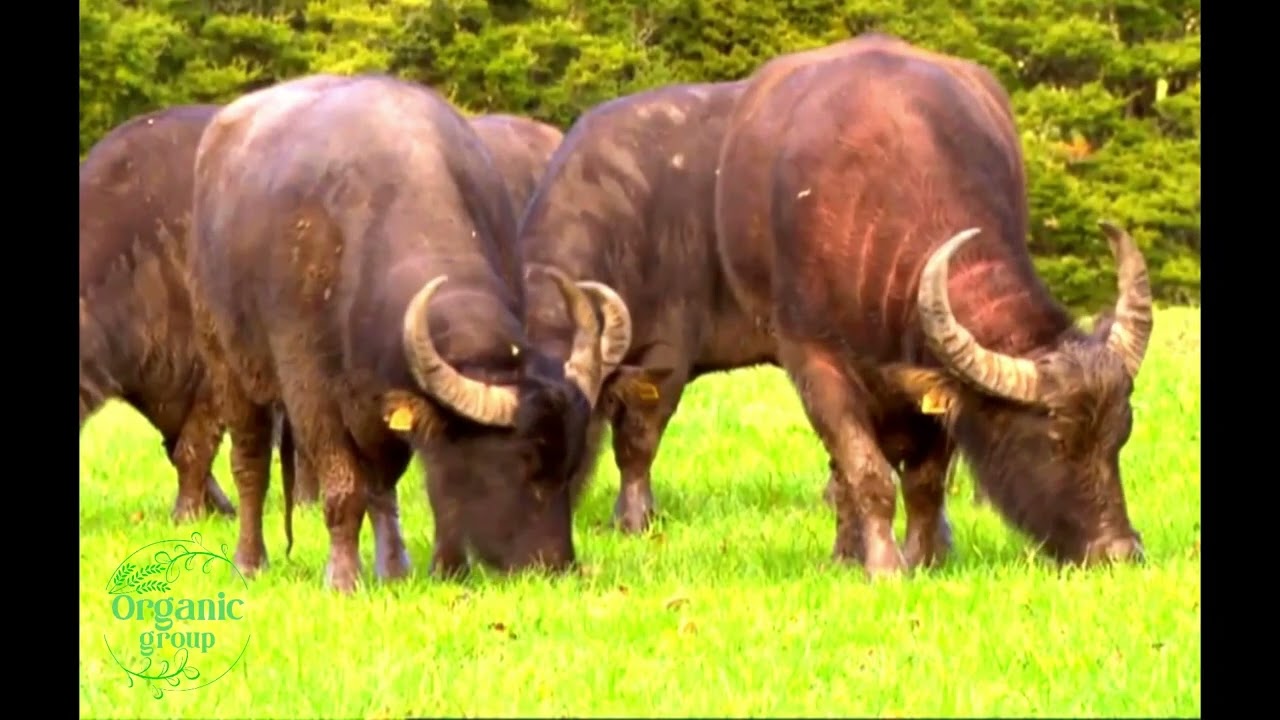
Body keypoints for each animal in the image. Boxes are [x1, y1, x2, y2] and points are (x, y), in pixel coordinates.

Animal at [188, 74, 633, 592]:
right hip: (228, 364)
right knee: (250, 463)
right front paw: (344, 578)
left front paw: (401, 568)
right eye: (520, 461)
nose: (556, 565)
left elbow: (386, 482)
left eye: (574, 463)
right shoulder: (310, 391)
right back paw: (249, 561)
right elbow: (343, 487)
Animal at [716, 34, 1154, 575]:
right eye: (1055, 442)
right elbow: (865, 471)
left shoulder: (940, 386)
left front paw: (925, 558)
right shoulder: (813, 359)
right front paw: (884, 566)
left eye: (1121, 434)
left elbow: (924, 481)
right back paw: (846, 554)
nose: (1120, 551)